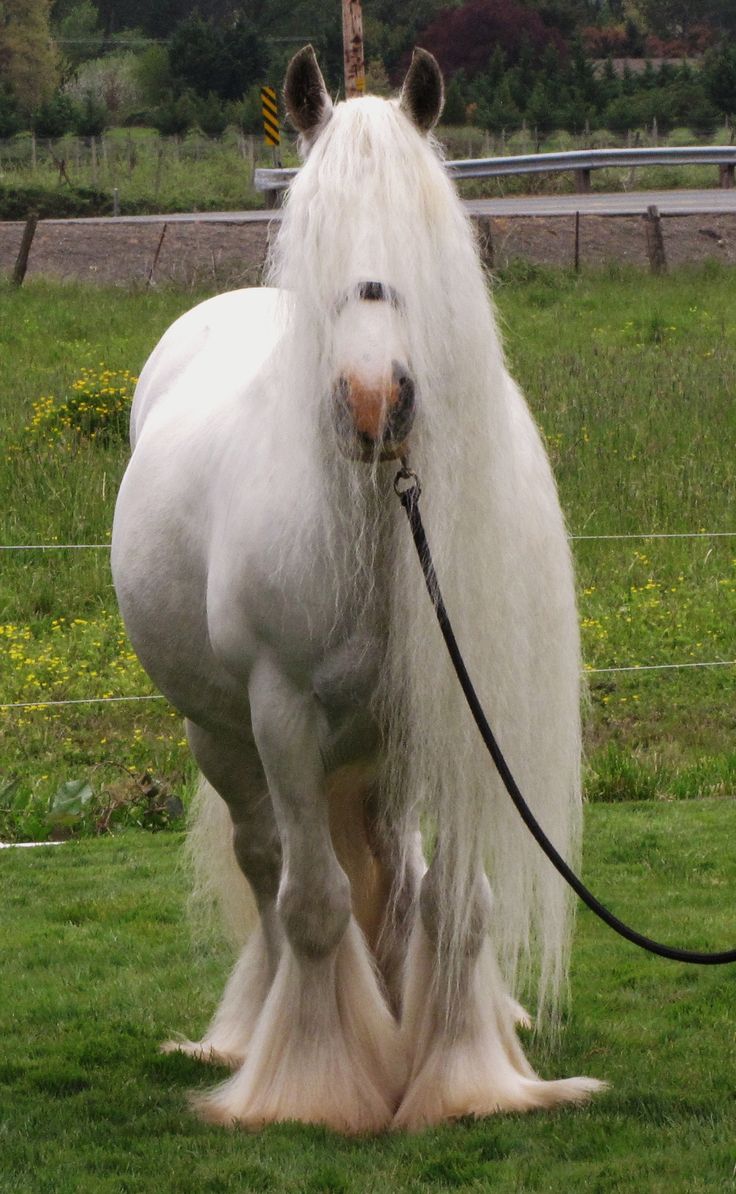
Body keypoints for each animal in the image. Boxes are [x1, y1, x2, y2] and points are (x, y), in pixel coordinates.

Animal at [111, 46, 604, 1133]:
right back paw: (255, 1034)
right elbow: (313, 902)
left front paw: (463, 1077)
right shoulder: (282, 715)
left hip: (384, 747)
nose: (376, 400)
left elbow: (453, 903)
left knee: (395, 868)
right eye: (314, 229)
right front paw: (315, 1085)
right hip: (222, 736)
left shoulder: (453, 714)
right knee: (269, 867)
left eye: (424, 234)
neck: (383, 518)